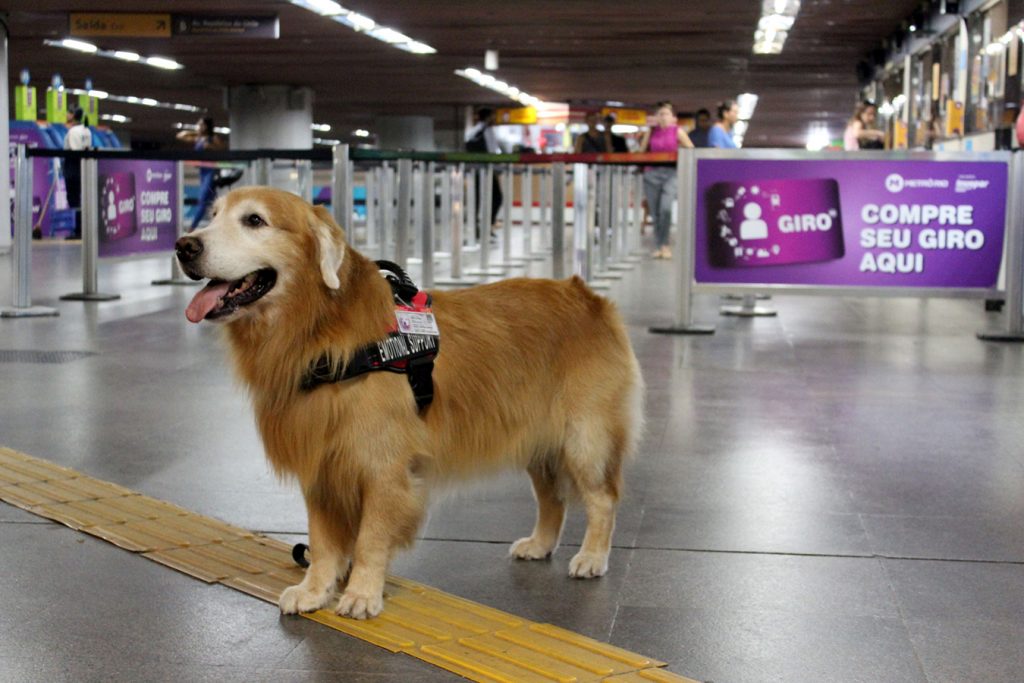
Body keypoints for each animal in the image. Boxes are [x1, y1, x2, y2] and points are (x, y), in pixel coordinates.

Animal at [176, 187, 638, 618]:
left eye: (254, 220)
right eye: (212, 215)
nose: (184, 246)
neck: (320, 331)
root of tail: (587, 297)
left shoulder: (383, 467)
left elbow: (369, 539)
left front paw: (362, 593)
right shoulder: (320, 465)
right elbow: (323, 542)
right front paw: (315, 590)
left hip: (585, 437)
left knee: (603, 499)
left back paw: (592, 556)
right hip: (537, 439)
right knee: (552, 496)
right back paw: (540, 543)